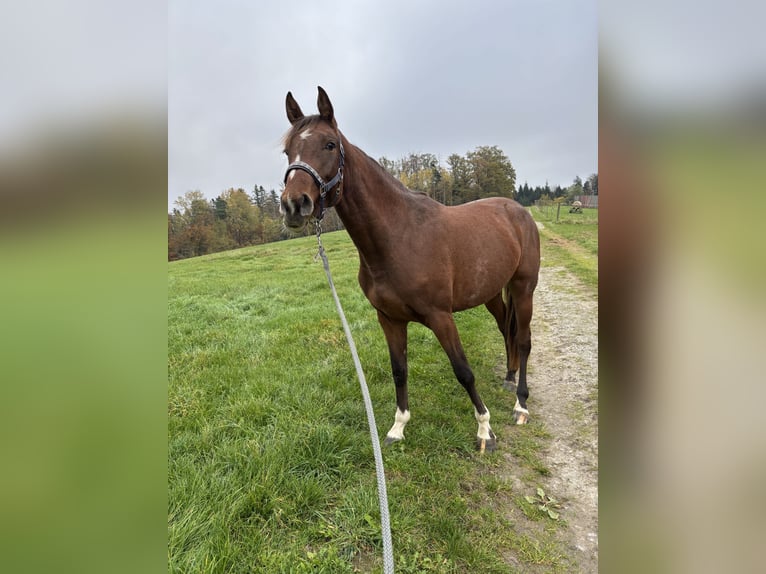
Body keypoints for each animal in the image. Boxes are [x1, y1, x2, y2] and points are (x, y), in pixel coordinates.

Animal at [280, 86, 540, 454]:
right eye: (288, 150)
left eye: (329, 144)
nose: (293, 204)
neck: (398, 236)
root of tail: (518, 211)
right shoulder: (389, 319)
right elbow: (399, 370)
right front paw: (398, 427)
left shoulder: (441, 317)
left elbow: (463, 371)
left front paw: (485, 431)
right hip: (491, 293)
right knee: (507, 329)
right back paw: (508, 378)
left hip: (523, 287)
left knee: (524, 340)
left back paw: (521, 404)